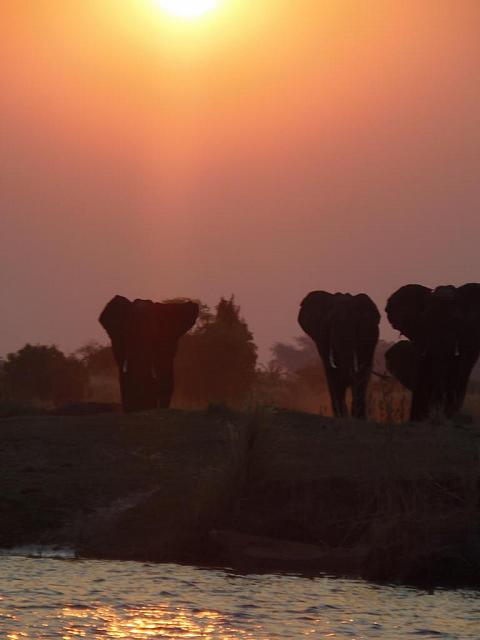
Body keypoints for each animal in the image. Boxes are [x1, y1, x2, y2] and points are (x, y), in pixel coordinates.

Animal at [298, 292, 380, 420]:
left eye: (356, 324)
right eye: (330, 324)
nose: (346, 381)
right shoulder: (322, 339)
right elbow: (330, 371)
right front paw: (343, 417)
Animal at [384, 284, 480, 422]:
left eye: (456, 320)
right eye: (426, 320)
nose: (437, 413)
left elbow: (457, 370)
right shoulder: (420, 335)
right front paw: (418, 419)